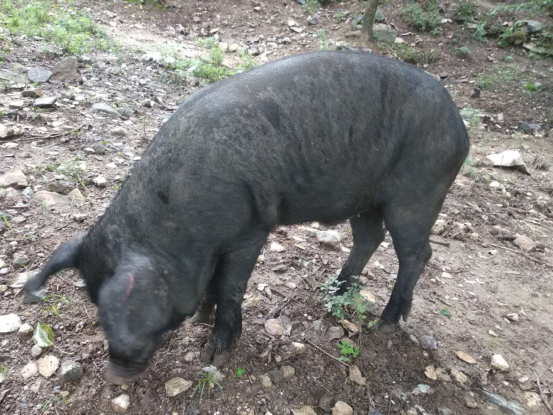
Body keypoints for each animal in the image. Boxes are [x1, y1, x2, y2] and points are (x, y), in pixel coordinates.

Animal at [23, 50, 468, 386]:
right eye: (95, 305)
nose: (115, 376)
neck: (178, 224)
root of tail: (460, 127)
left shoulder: (249, 231)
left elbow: (231, 285)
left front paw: (216, 349)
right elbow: (211, 283)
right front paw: (201, 318)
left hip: (418, 192)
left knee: (417, 253)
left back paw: (386, 324)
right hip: (365, 198)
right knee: (370, 238)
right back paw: (332, 294)